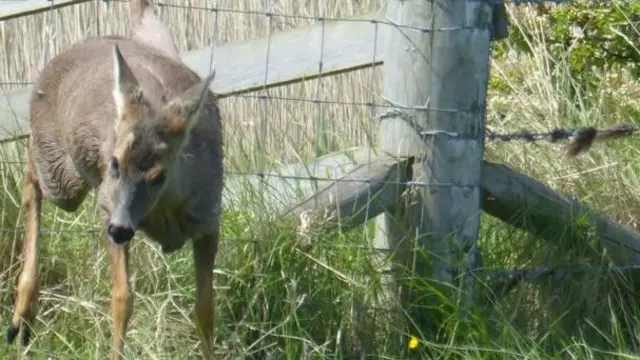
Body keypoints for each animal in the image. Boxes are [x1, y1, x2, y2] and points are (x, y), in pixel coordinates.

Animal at [5, 1, 222, 358]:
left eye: (159, 174)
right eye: (114, 163)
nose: (120, 229)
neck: (164, 212)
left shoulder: (208, 218)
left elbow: (205, 310)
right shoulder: (108, 205)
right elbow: (122, 299)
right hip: (63, 176)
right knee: (30, 175)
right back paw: (19, 317)